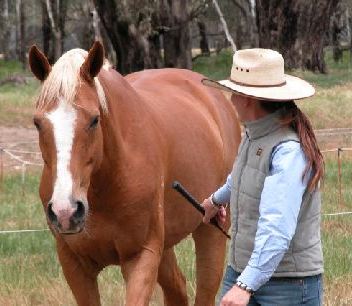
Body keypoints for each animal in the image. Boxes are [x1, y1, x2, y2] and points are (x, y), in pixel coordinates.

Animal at [28, 41, 241, 306]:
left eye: (94, 120)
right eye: (38, 123)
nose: (65, 211)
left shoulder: (141, 257)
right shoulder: (74, 264)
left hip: (210, 232)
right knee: (177, 288)